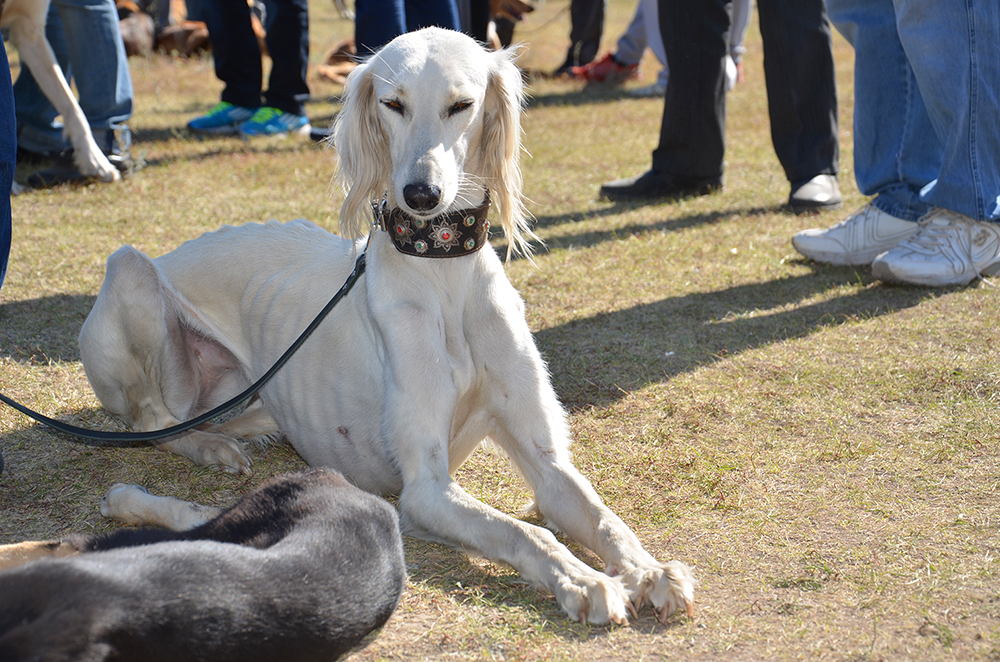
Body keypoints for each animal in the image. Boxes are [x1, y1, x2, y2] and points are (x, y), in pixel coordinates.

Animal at [78, 27, 696, 628]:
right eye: (393, 103)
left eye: (462, 105)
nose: (421, 195)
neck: (442, 269)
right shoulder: (424, 490)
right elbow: (527, 530)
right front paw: (584, 581)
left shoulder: (547, 462)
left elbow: (600, 515)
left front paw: (650, 570)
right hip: (132, 272)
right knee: (154, 422)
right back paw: (190, 461)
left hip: (249, 396)